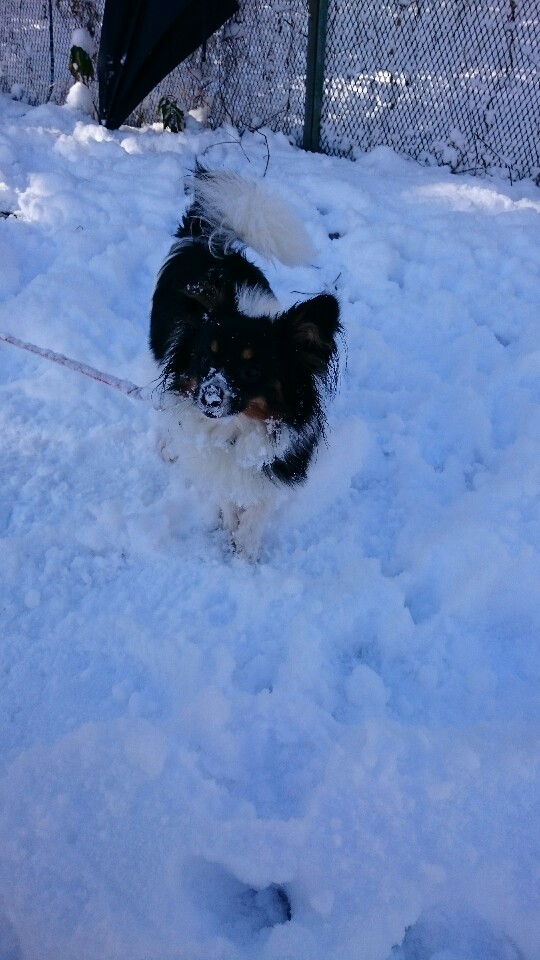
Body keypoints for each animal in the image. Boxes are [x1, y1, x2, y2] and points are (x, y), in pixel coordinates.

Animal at [149, 165, 342, 556]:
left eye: (252, 370)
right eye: (205, 357)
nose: (208, 398)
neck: (235, 430)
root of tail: (210, 240)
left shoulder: (278, 464)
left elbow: (256, 511)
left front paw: (245, 553)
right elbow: (226, 499)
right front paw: (229, 536)